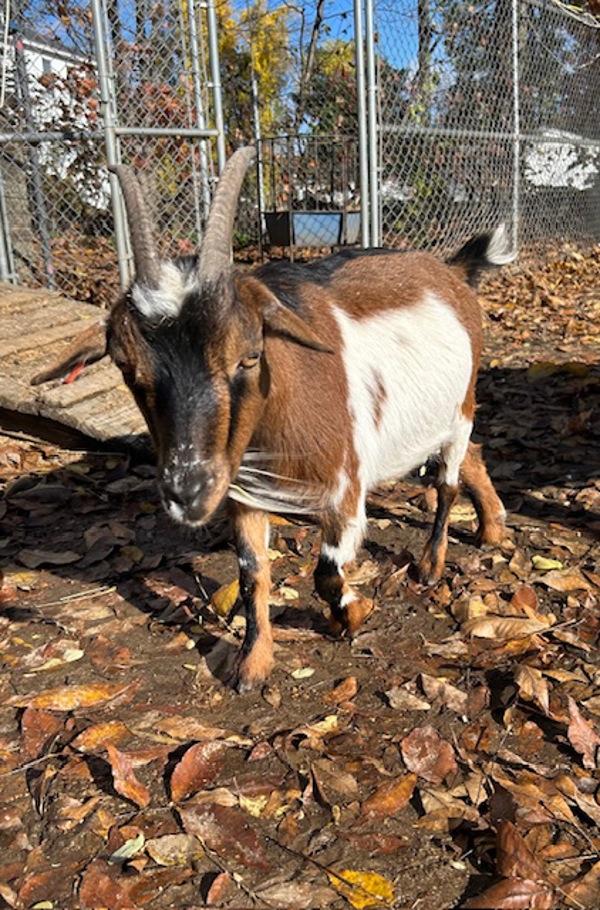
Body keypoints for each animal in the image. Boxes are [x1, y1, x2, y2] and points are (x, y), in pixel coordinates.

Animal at [62, 146, 513, 691]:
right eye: (127, 367)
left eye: (250, 355)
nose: (188, 493)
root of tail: (451, 270)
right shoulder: (241, 489)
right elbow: (251, 573)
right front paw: (252, 665)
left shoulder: (343, 489)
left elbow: (326, 573)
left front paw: (352, 615)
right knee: (474, 456)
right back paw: (492, 527)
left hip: (460, 406)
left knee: (447, 483)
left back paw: (431, 564)